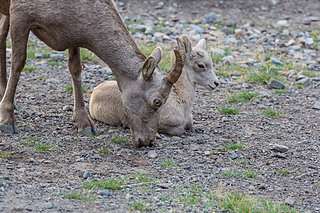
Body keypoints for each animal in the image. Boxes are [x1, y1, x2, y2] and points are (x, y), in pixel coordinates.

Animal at [0, 0, 184, 147]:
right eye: (157, 101)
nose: (147, 141)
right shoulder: (20, 16)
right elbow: (18, 62)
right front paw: (7, 121)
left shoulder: (71, 36)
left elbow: (75, 68)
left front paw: (85, 125)